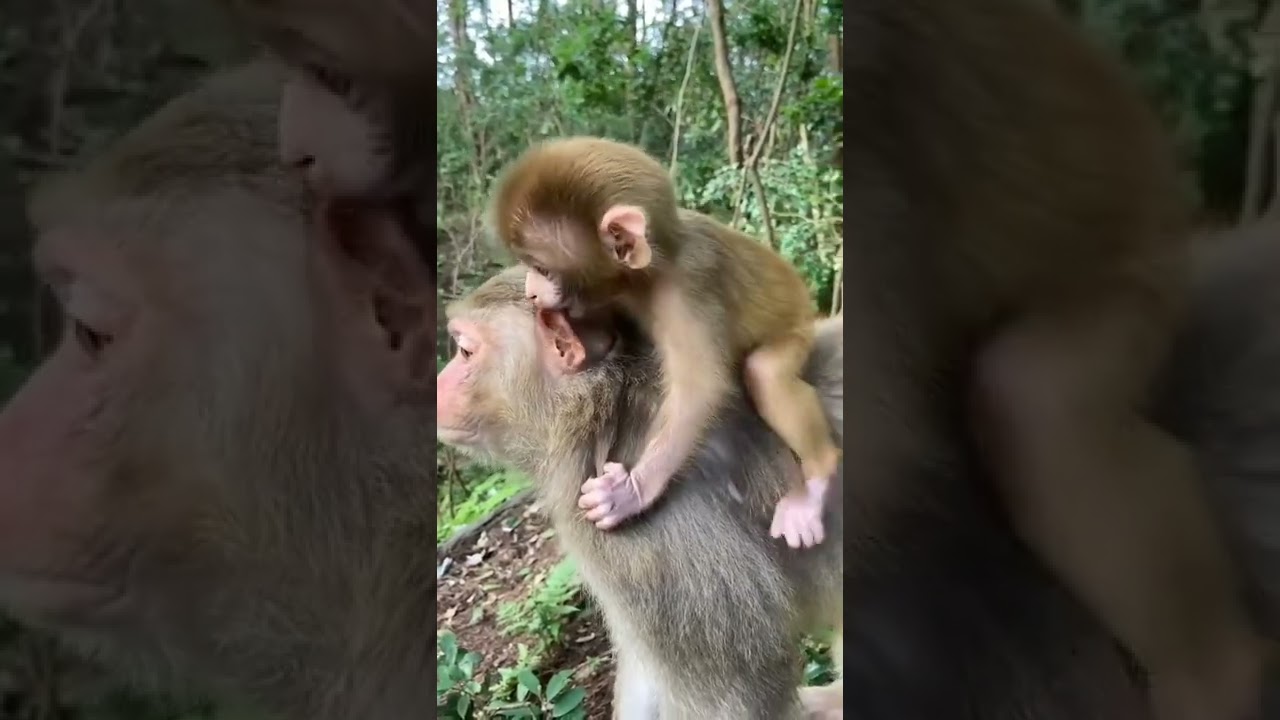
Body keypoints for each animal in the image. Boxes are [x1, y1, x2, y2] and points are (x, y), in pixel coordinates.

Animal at [488, 136, 841, 550]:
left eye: (541, 269)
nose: (531, 292)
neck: (648, 271)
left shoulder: (687, 288)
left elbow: (700, 389)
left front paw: (631, 493)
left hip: (796, 327)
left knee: (766, 373)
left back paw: (818, 478)